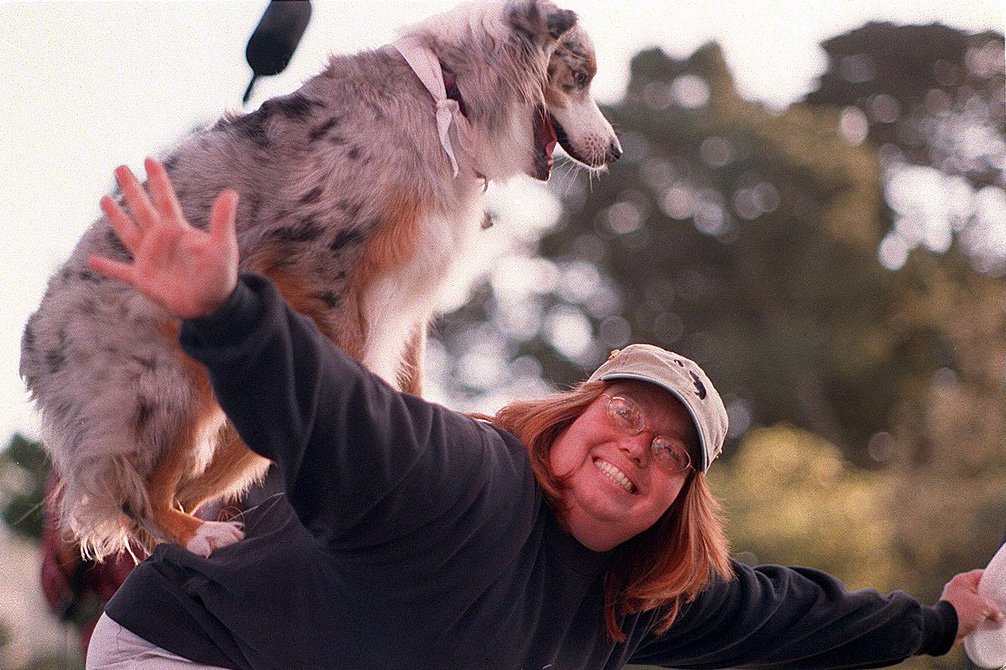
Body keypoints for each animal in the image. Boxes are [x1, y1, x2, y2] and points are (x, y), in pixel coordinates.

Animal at [19, 0, 619, 559]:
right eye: (579, 77)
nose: (614, 151)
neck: (447, 97)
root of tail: (35, 343)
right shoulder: (319, 254)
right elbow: (353, 350)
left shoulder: (411, 291)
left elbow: (410, 374)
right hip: (165, 384)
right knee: (139, 493)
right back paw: (192, 533)